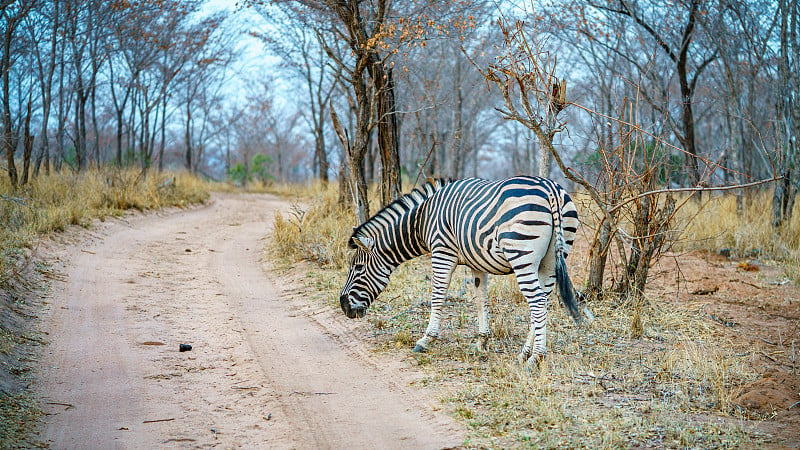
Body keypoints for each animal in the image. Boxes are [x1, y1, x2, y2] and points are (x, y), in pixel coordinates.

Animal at [340, 176, 580, 366]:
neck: (422, 220)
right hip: (551, 259)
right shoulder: (477, 262)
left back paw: (536, 358)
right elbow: (480, 299)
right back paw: (524, 354)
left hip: (522, 254)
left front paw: (426, 339)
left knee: (537, 300)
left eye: (358, 267)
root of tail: (551, 189)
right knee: (544, 299)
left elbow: (437, 296)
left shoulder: (442, 252)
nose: (343, 306)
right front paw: (482, 341)